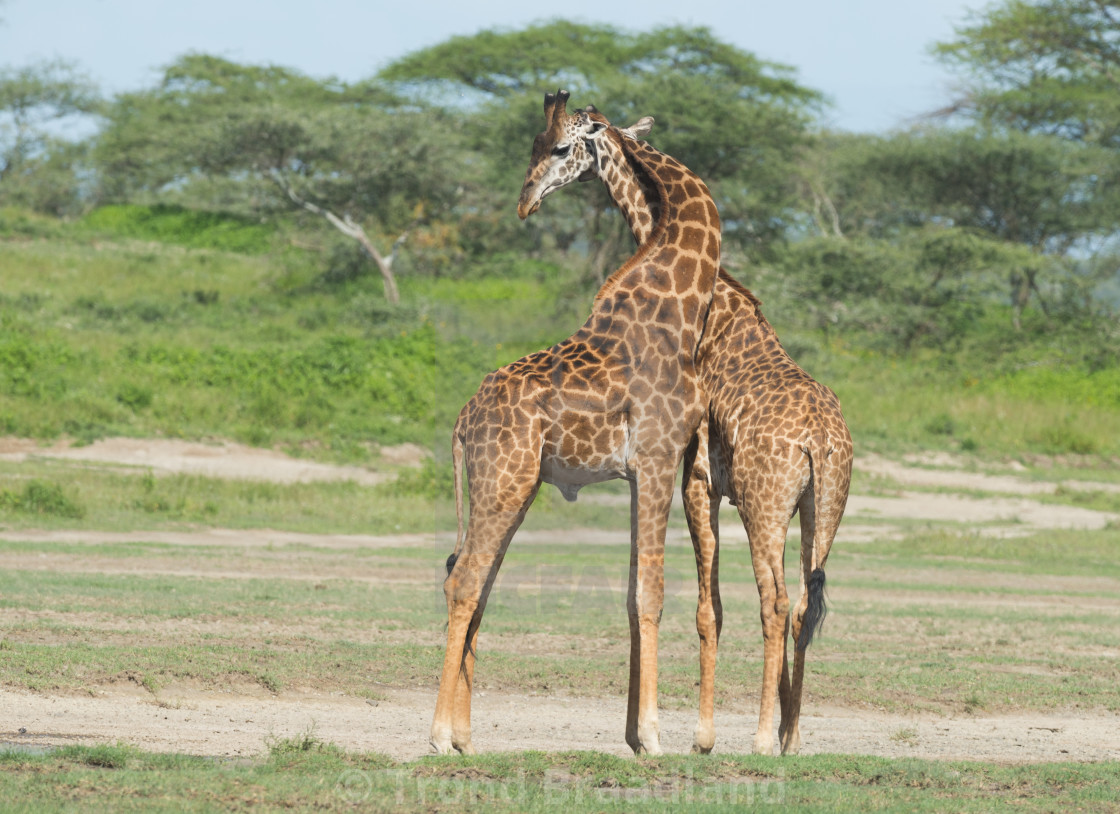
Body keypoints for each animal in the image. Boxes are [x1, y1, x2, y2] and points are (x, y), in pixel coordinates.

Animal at [423, 89, 721, 756]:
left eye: (560, 147)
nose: (525, 202)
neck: (683, 305)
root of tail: (461, 421)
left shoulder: (643, 469)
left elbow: (634, 593)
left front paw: (636, 736)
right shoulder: (660, 455)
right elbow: (652, 592)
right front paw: (654, 738)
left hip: (510, 484)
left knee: (474, 579)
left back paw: (465, 737)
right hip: (505, 480)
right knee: (464, 582)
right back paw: (438, 736)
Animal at [573, 108, 851, 756]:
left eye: (579, 147)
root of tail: (821, 443)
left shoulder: (697, 479)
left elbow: (709, 608)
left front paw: (702, 736)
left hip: (765, 506)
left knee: (775, 602)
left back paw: (759, 739)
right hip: (822, 509)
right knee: (804, 604)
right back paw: (789, 736)